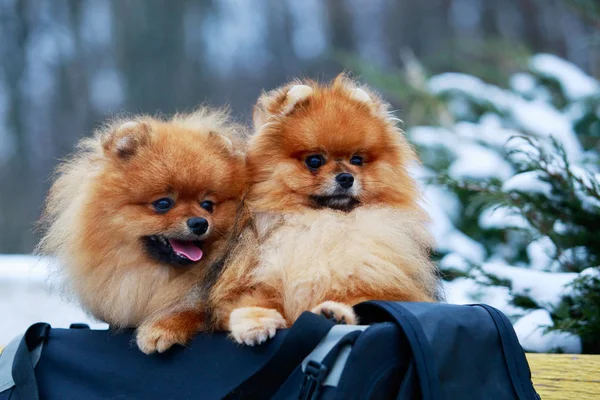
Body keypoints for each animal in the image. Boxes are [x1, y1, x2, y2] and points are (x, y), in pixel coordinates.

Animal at [211, 74, 440, 344]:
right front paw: (256, 323)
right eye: (314, 160)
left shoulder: (379, 285)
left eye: (357, 160)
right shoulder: (253, 283)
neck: (324, 223)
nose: (346, 177)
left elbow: (357, 298)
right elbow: (249, 302)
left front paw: (334, 311)